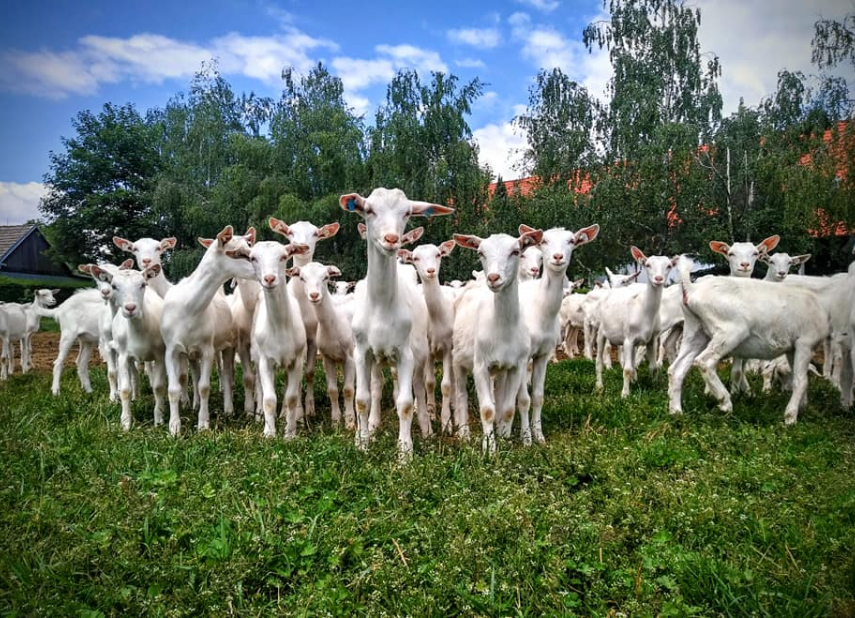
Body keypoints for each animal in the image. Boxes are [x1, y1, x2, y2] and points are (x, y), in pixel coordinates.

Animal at [340, 185, 454, 454]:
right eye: (369, 210)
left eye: (407, 212)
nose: (391, 239)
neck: (381, 306)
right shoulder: (362, 351)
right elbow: (362, 398)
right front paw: (363, 442)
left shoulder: (405, 353)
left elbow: (405, 402)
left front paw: (405, 451)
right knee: (377, 385)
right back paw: (373, 424)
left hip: (420, 353)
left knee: (420, 387)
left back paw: (426, 428)